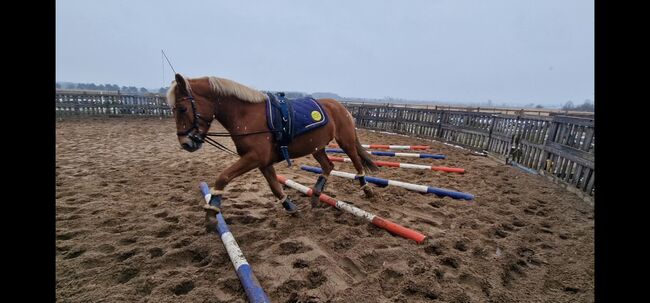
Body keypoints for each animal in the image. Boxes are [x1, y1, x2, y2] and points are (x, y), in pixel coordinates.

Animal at [167, 73, 378, 228]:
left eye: (182, 108)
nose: (185, 143)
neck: (247, 115)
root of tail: (341, 107)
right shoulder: (263, 162)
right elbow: (275, 187)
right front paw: (291, 207)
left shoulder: (254, 158)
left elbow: (223, 177)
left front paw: (211, 213)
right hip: (316, 147)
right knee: (328, 166)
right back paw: (316, 196)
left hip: (346, 142)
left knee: (356, 162)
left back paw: (367, 189)